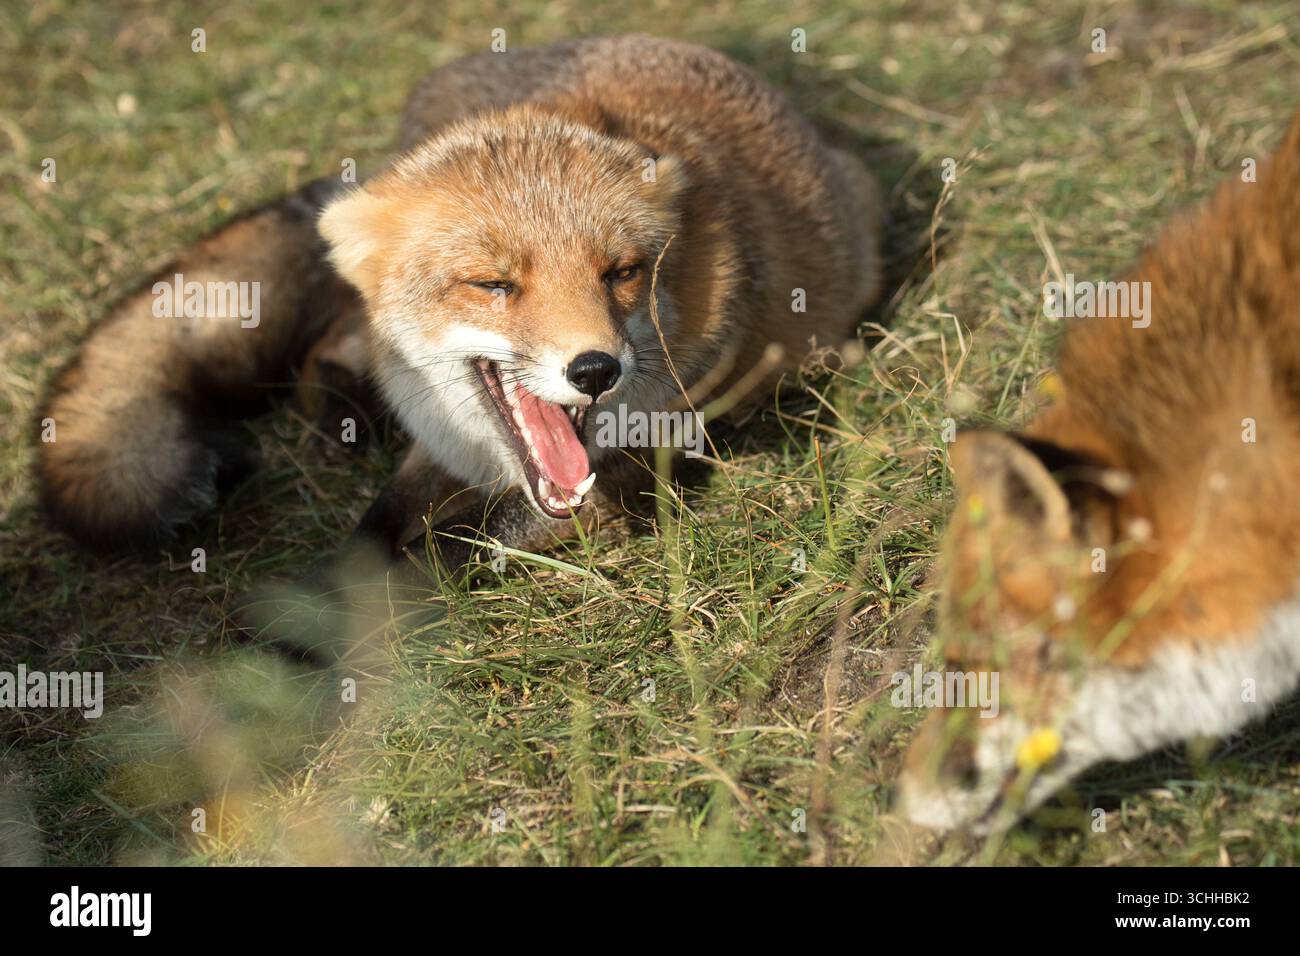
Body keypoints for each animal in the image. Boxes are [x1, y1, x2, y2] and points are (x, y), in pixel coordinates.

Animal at [37, 34, 883, 568]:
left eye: (620, 273)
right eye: (494, 285)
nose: (595, 371)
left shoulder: (625, 478)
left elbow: (440, 557)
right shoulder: (440, 443)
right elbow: (365, 542)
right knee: (331, 338)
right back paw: (341, 411)